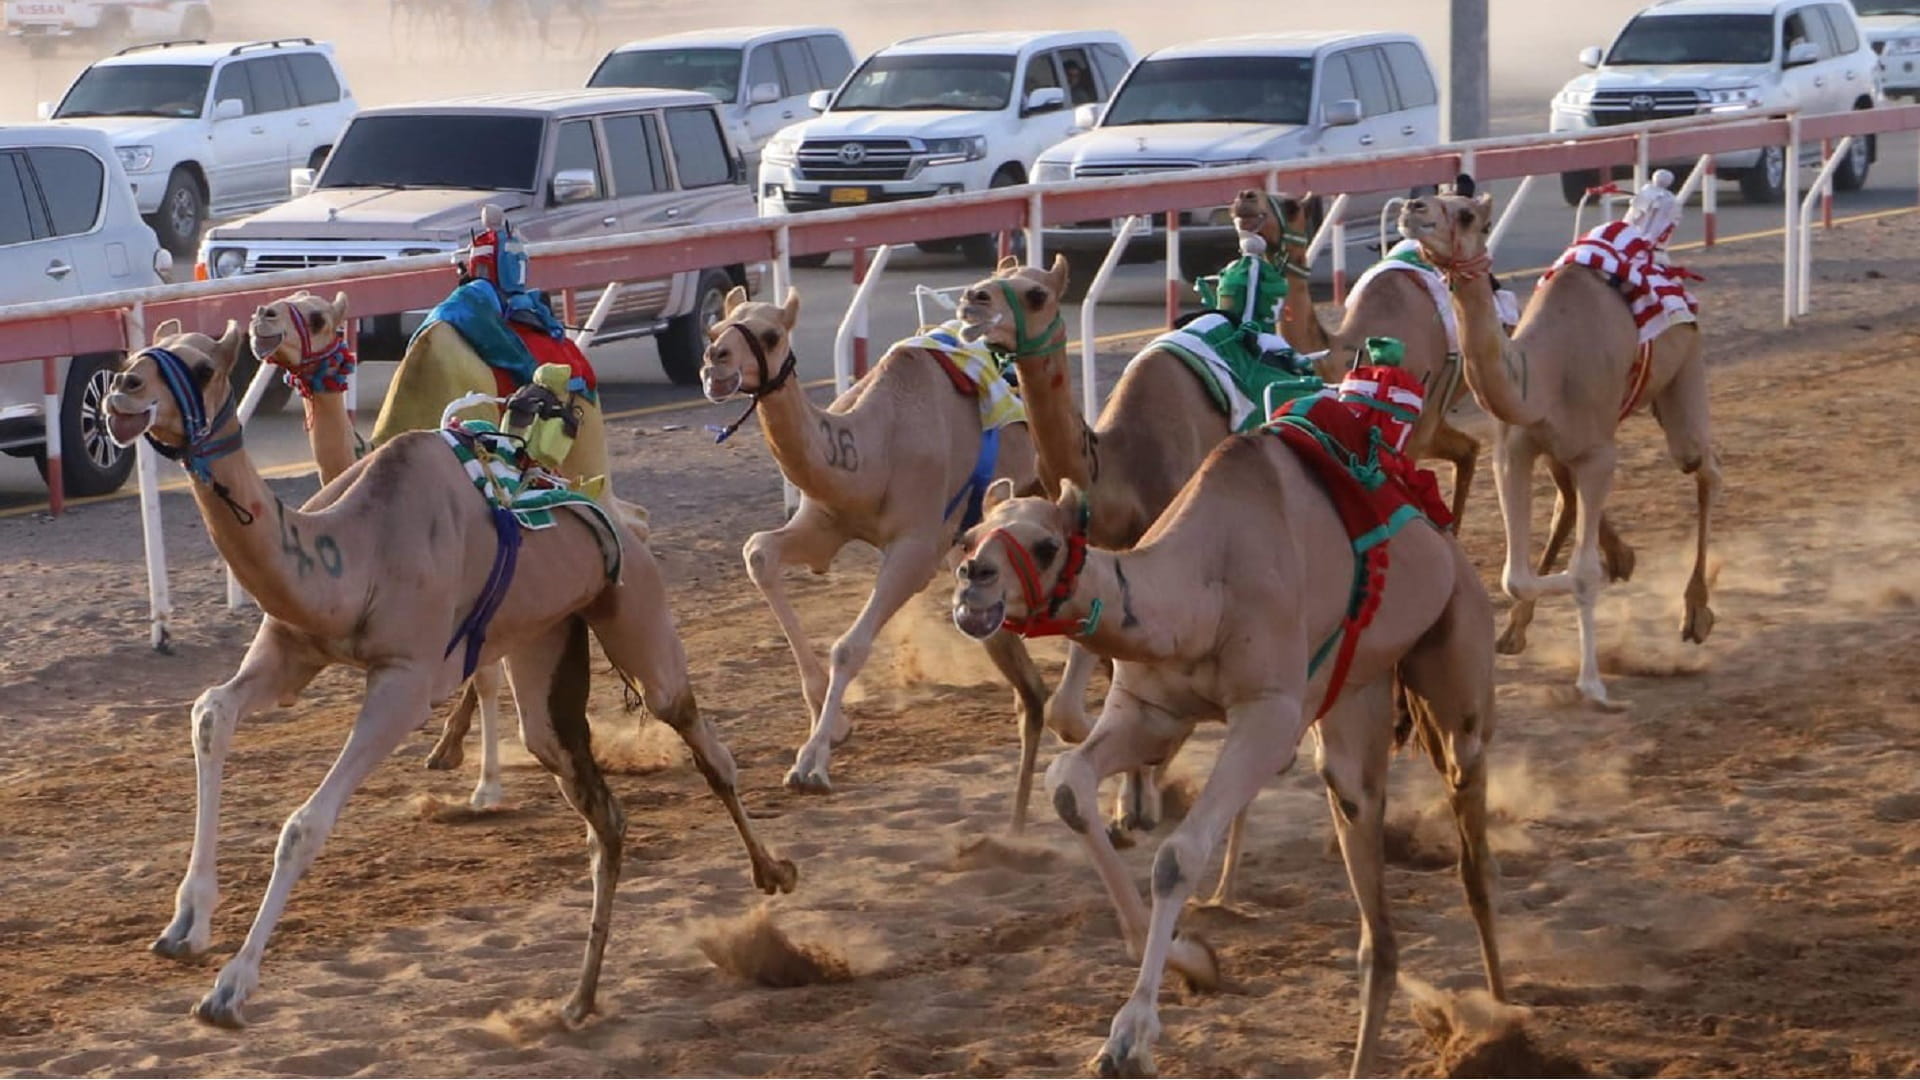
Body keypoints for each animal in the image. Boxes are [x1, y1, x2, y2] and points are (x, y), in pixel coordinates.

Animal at [106, 320, 794, 1029]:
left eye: (202, 367)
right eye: (138, 356)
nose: (122, 389)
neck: (352, 553)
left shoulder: (405, 681)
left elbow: (304, 824)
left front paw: (231, 987)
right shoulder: (293, 650)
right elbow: (211, 710)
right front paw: (184, 924)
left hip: (635, 608)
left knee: (697, 735)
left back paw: (775, 875)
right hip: (545, 641)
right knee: (596, 805)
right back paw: (579, 998)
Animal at [698, 286, 1060, 828]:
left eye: (771, 334)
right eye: (716, 330)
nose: (713, 364)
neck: (874, 448)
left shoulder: (916, 548)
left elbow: (849, 646)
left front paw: (810, 764)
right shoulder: (827, 523)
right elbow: (758, 552)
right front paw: (832, 722)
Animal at [949, 441, 1504, 1076]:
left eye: (1045, 546)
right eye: (968, 539)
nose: (974, 582)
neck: (1202, 592)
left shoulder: (1270, 715)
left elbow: (1177, 856)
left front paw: (1130, 1035)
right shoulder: (1153, 713)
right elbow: (1067, 783)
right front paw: (1195, 960)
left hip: (1457, 647)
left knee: (1468, 808)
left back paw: (1503, 1015)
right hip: (1357, 697)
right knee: (1364, 849)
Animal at [1402, 174, 1718, 706]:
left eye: (1468, 215)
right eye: (1436, 194)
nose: (1413, 208)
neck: (1542, 375)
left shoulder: (1598, 456)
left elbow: (1582, 573)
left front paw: (1592, 682)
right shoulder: (1514, 450)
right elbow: (1516, 577)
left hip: (1686, 366)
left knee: (1704, 465)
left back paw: (1696, 613)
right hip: (1565, 446)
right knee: (1566, 503)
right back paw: (1528, 622)